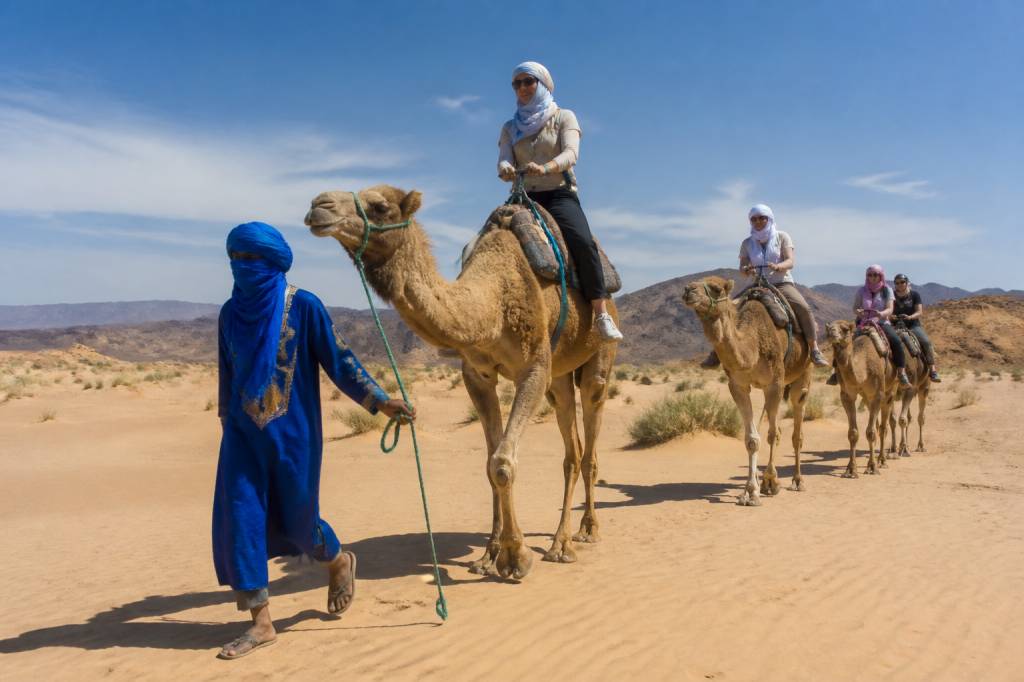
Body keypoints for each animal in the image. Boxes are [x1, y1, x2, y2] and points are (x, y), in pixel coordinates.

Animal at [304, 185, 617, 580]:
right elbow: (489, 464)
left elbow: (503, 462)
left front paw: (516, 558)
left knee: (589, 440)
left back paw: (578, 536)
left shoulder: (534, 366)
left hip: (597, 358)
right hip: (558, 378)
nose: (319, 205)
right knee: (571, 451)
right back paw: (560, 540)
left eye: (381, 206)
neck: (491, 305)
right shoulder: (477, 375)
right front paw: (489, 554)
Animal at [682, 276, 812, 506]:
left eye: (716, 289)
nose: (689, 290)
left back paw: (797, 481)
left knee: (796, 428)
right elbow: (752, 438)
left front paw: (771, 482)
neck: (752, 346)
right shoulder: (738, 386)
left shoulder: (775, 383)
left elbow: (772, 434)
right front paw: (750, 491)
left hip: (802, 374)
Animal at [824, 320, 898, 477]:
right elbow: (853, 432)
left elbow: (870, 432)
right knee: (877, 425)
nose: (832, 333)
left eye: (845, 329)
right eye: (828, 328)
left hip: (891, 389)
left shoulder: (877, 394)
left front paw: (872, 467)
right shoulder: (847, 395)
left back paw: (882, 460)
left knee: (883, 426)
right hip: (867, 397)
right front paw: (851, 469)